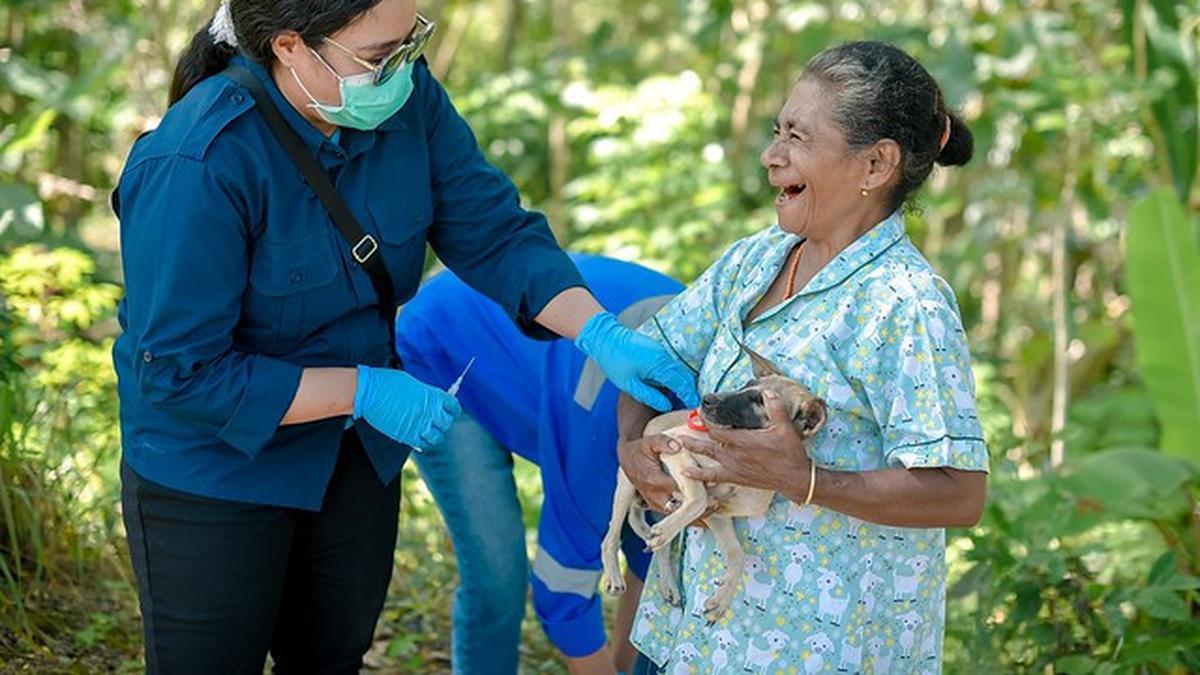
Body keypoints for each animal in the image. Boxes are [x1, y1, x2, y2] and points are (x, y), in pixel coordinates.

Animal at [600, 348, 825, 624]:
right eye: (747, 384)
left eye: (760, 401)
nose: (706, 400)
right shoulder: (675, 447)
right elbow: (699, 497)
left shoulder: (719, 514)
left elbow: (737, 554)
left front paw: (721, 600)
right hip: (627, 482)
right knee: (610, 536)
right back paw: (615, 573)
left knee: (660, 547)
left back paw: (668, 581)